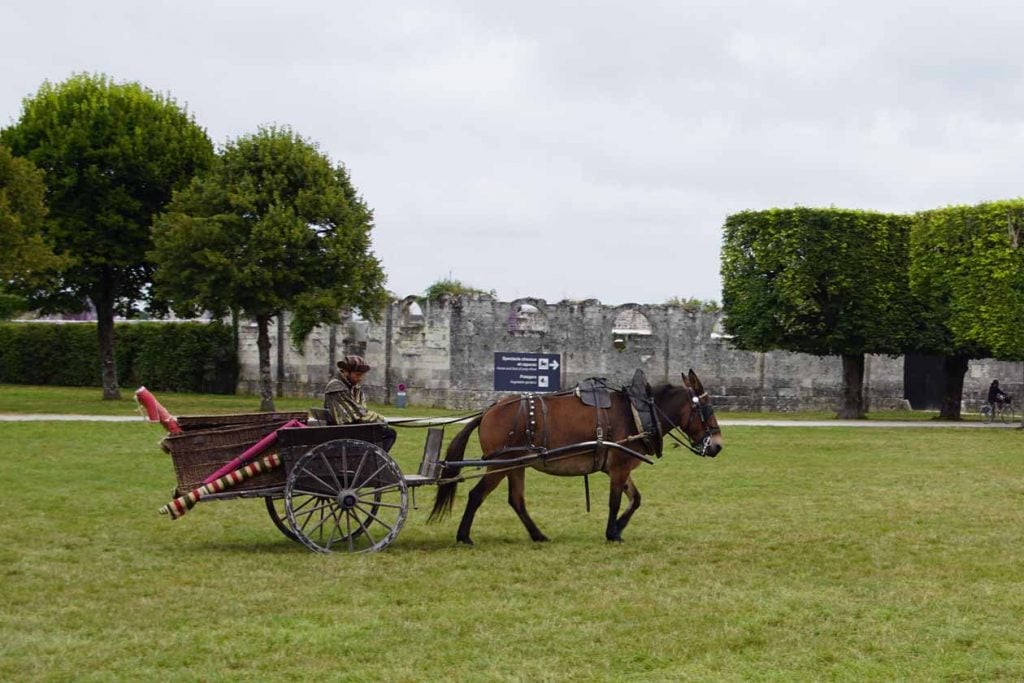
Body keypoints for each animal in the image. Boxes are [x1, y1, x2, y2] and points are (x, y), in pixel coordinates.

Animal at [428, 368, 724, 544]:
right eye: (707, 409)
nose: (718, 446)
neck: (637, 412)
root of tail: (489, 410)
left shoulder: (619, 466)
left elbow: (635, 500)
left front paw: (619, 528)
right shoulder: (619, 467)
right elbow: (615, 502)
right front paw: (612, 532)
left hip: (516, 463)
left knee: (517, 500)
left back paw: (538, 535)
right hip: (499, 464)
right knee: (477, 495)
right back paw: (464, 536)